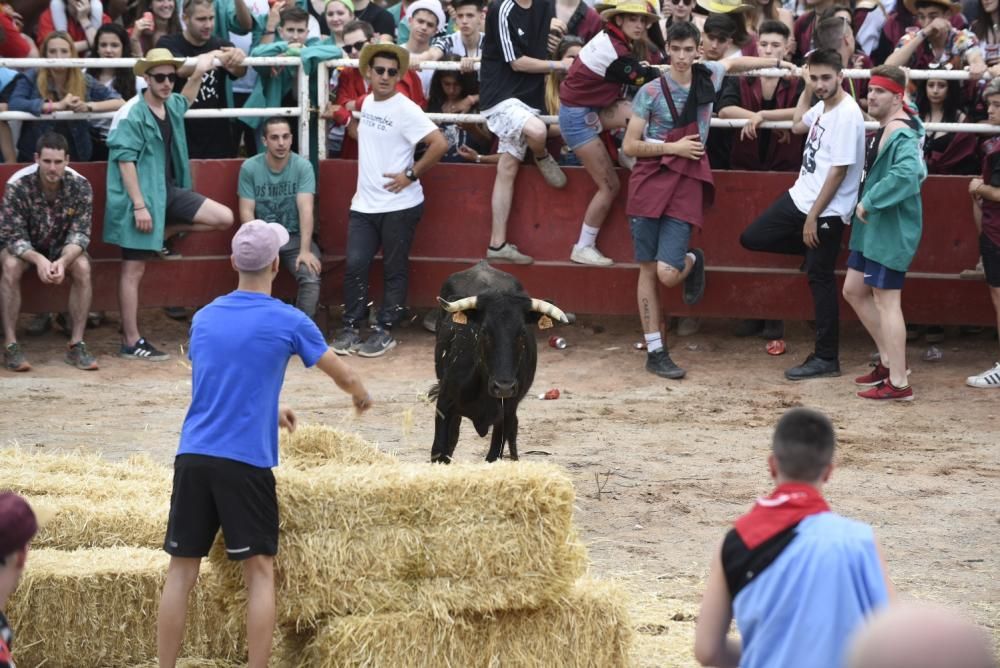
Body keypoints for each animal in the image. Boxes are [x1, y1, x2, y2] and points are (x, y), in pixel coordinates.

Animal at [428, 260, 572, 464]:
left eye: (522, 332)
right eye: (484, 331)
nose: (503, 387)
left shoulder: (506, 413)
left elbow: (494, 455)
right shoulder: (445, 404)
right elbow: (439, 450)